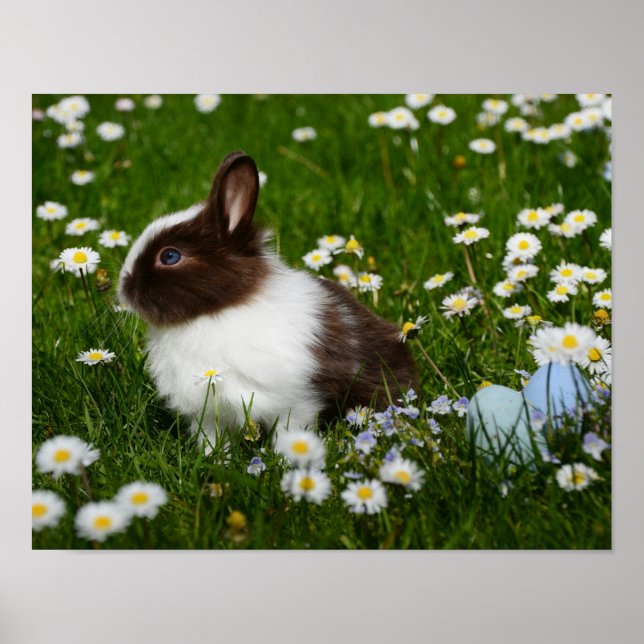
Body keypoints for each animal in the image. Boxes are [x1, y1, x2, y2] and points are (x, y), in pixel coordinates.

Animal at [118, 150, 417, 448]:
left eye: (170, 256)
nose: (123, 289)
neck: (218, 311)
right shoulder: (209, 413)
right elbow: (212, 439)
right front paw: (214, 456)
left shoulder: (295, 402)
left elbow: (291, 432)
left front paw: (289, 457)